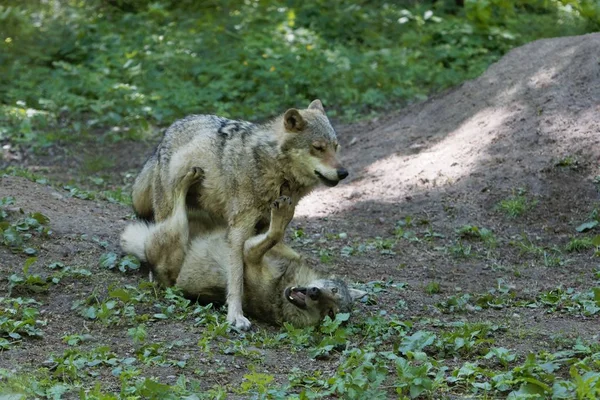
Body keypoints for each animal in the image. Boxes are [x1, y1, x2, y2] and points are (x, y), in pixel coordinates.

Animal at [120, 167, 366, 326]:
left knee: (177, 206)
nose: (314, 293)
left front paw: (282, 215)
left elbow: (273, 235)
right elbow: (280, 242)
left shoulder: (249, 253)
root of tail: (146, 253)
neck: (282, 285)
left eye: (330, 312)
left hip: (177, 233)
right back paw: (192, 176)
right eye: (333, 290)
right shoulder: (265, 249)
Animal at [129, 99, 350, 328]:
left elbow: (274, 241)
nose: (343, 173)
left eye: (336, 147)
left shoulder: (261, 227)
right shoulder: (238, 230)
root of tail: (170, 130)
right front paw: (235, 315)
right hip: (171, 212)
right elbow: (236, 277)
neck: (273, 170)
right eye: (318, 148)